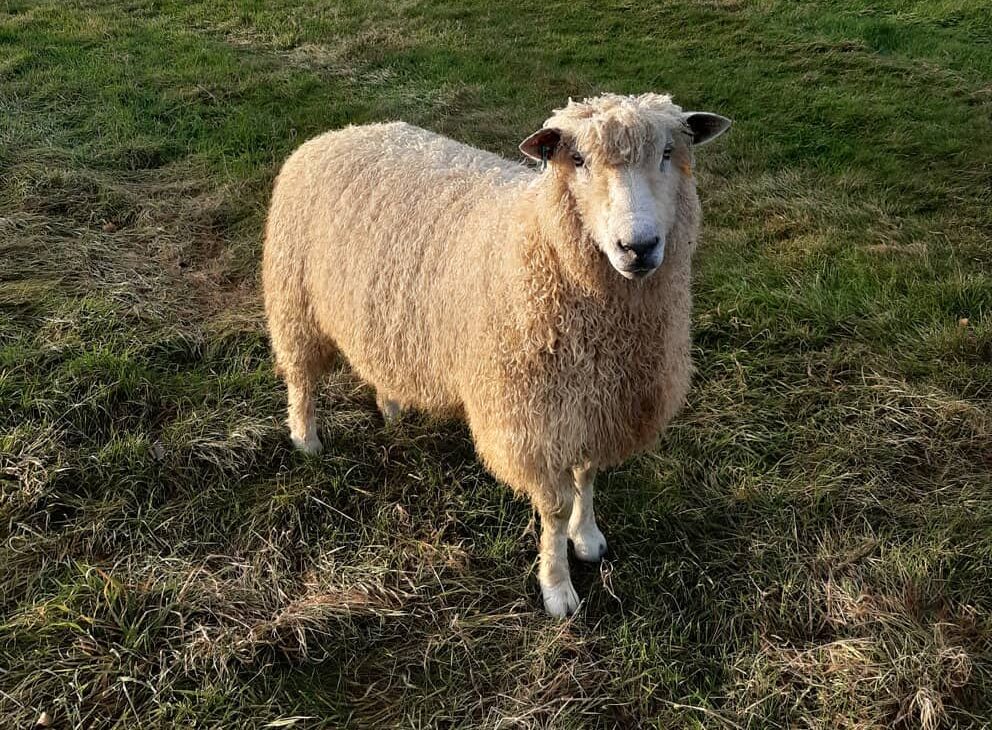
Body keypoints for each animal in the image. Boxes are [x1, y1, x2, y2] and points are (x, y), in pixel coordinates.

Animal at [262, 93, 731, 617]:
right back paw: (306, 439)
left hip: (382, 319)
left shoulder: (594, 404)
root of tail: (336, 134)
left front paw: (587, 538)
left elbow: (587, 475)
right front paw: (557, 586)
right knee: (301, 378)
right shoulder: (533, 419)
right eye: (578, 160)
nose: (638, 247)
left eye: (669, 153)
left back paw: (392, 406)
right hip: (294, 302)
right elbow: (555, 507)